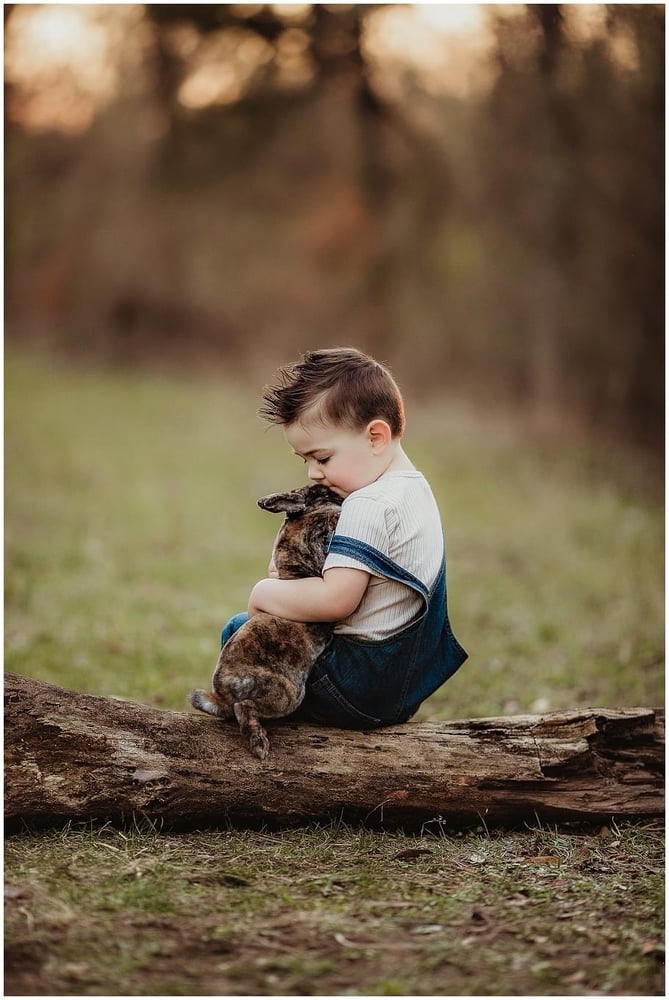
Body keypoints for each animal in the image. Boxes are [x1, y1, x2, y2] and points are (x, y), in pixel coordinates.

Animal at [189, 484, 342, 756]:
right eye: (325, 492)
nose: (343, 498)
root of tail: (222, 690)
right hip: (288, 694)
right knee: (244, 708)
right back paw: (259, 744)